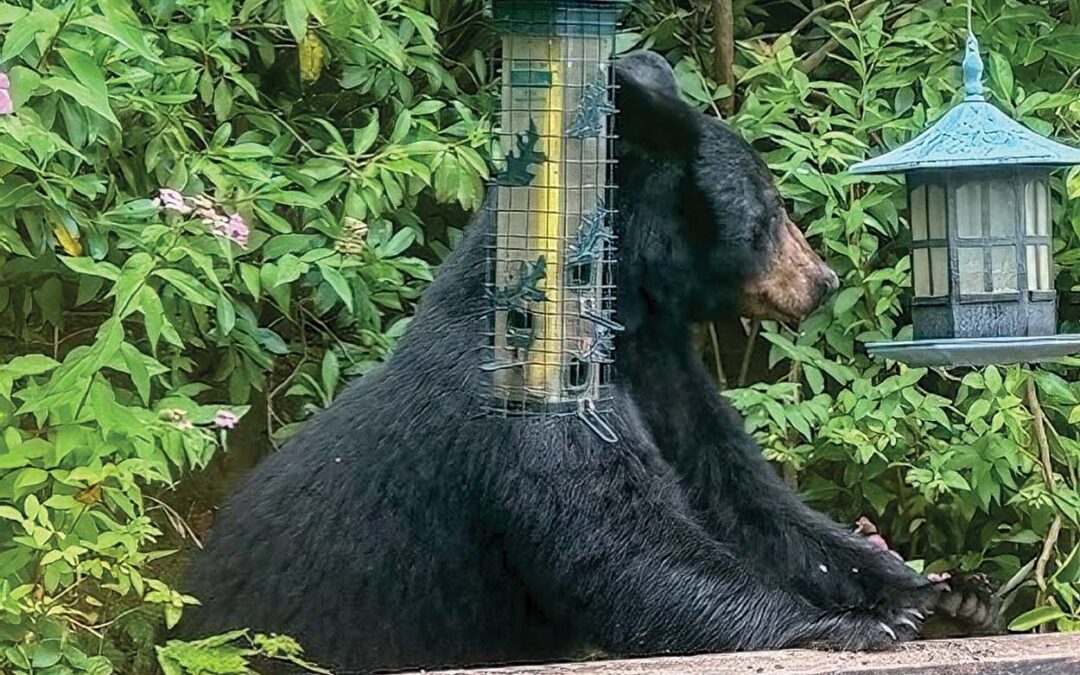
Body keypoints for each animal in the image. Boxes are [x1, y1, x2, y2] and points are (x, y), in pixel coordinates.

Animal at [183, 51, 971, 673]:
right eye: (772, 208)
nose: (823, 280)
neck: (616, 314)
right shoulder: (531, 389)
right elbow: (618, 541)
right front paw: (852, 624)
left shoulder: (660, 367)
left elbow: (738, 491)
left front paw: (935, 590)